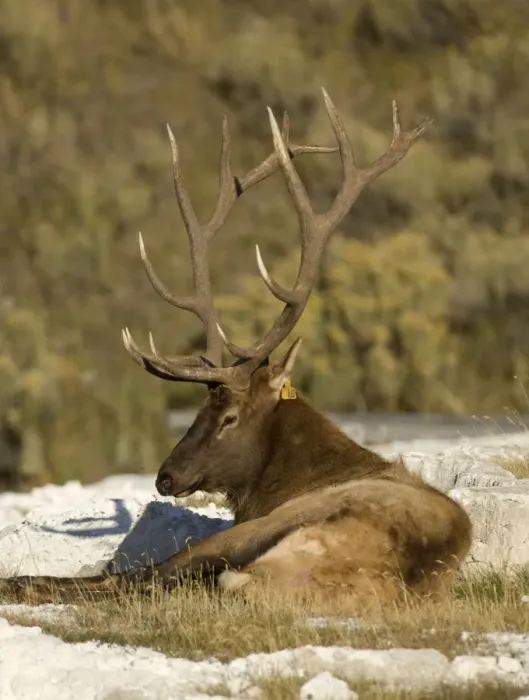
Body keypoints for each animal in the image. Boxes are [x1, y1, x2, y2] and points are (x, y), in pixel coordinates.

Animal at [0, 89, 472, 610]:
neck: (301, 474)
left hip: (253, 535)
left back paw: (22, 583)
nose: (166, 477)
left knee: (140, 578)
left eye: (229, 418)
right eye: (200, 410)